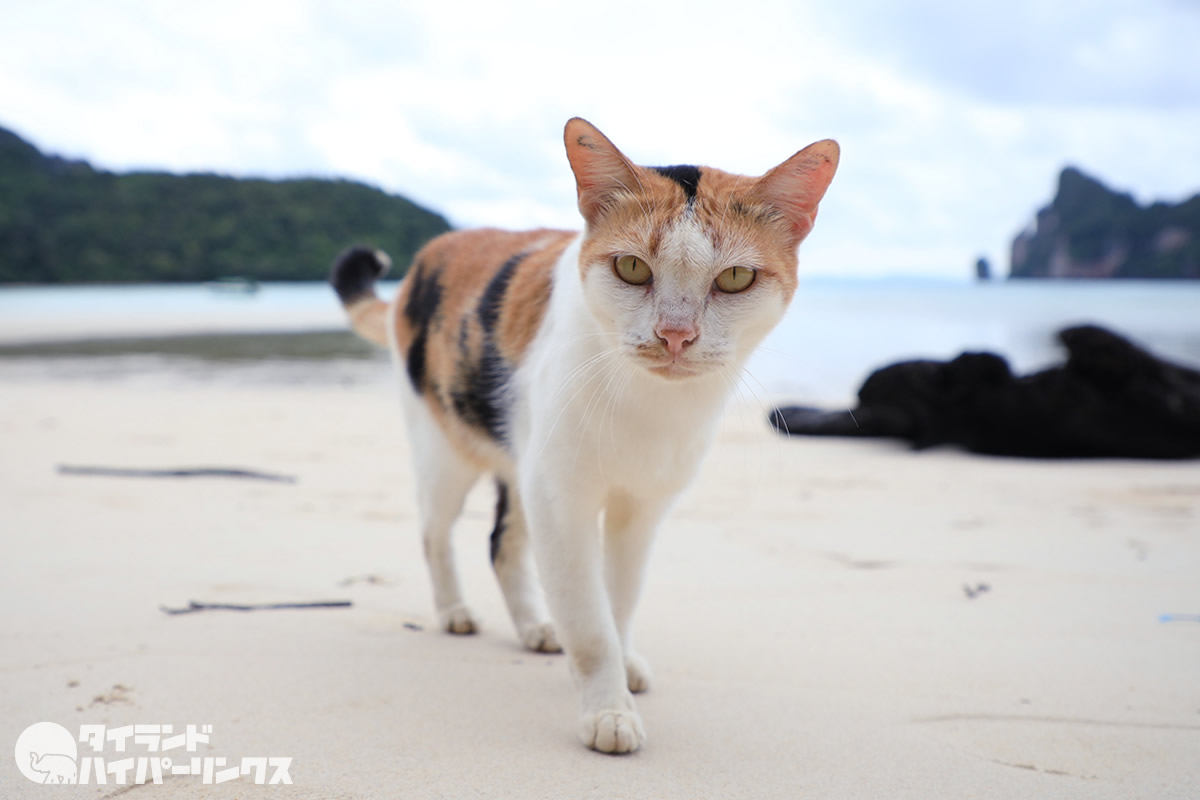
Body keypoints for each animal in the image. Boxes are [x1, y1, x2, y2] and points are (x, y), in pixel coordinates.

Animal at [328, 115, 835, 753]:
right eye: (632, 268)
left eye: (736, 278)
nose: (674, 335)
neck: (650, 405)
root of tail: (431, 253)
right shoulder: (560, 498)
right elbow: (591, 622)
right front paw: (607, 710)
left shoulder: (639, 508)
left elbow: (618, 604)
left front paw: (620, 668)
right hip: (447, 451)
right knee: (434, 532)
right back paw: (454, 612)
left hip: (522, 465)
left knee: (502, 543)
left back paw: (536, 628)